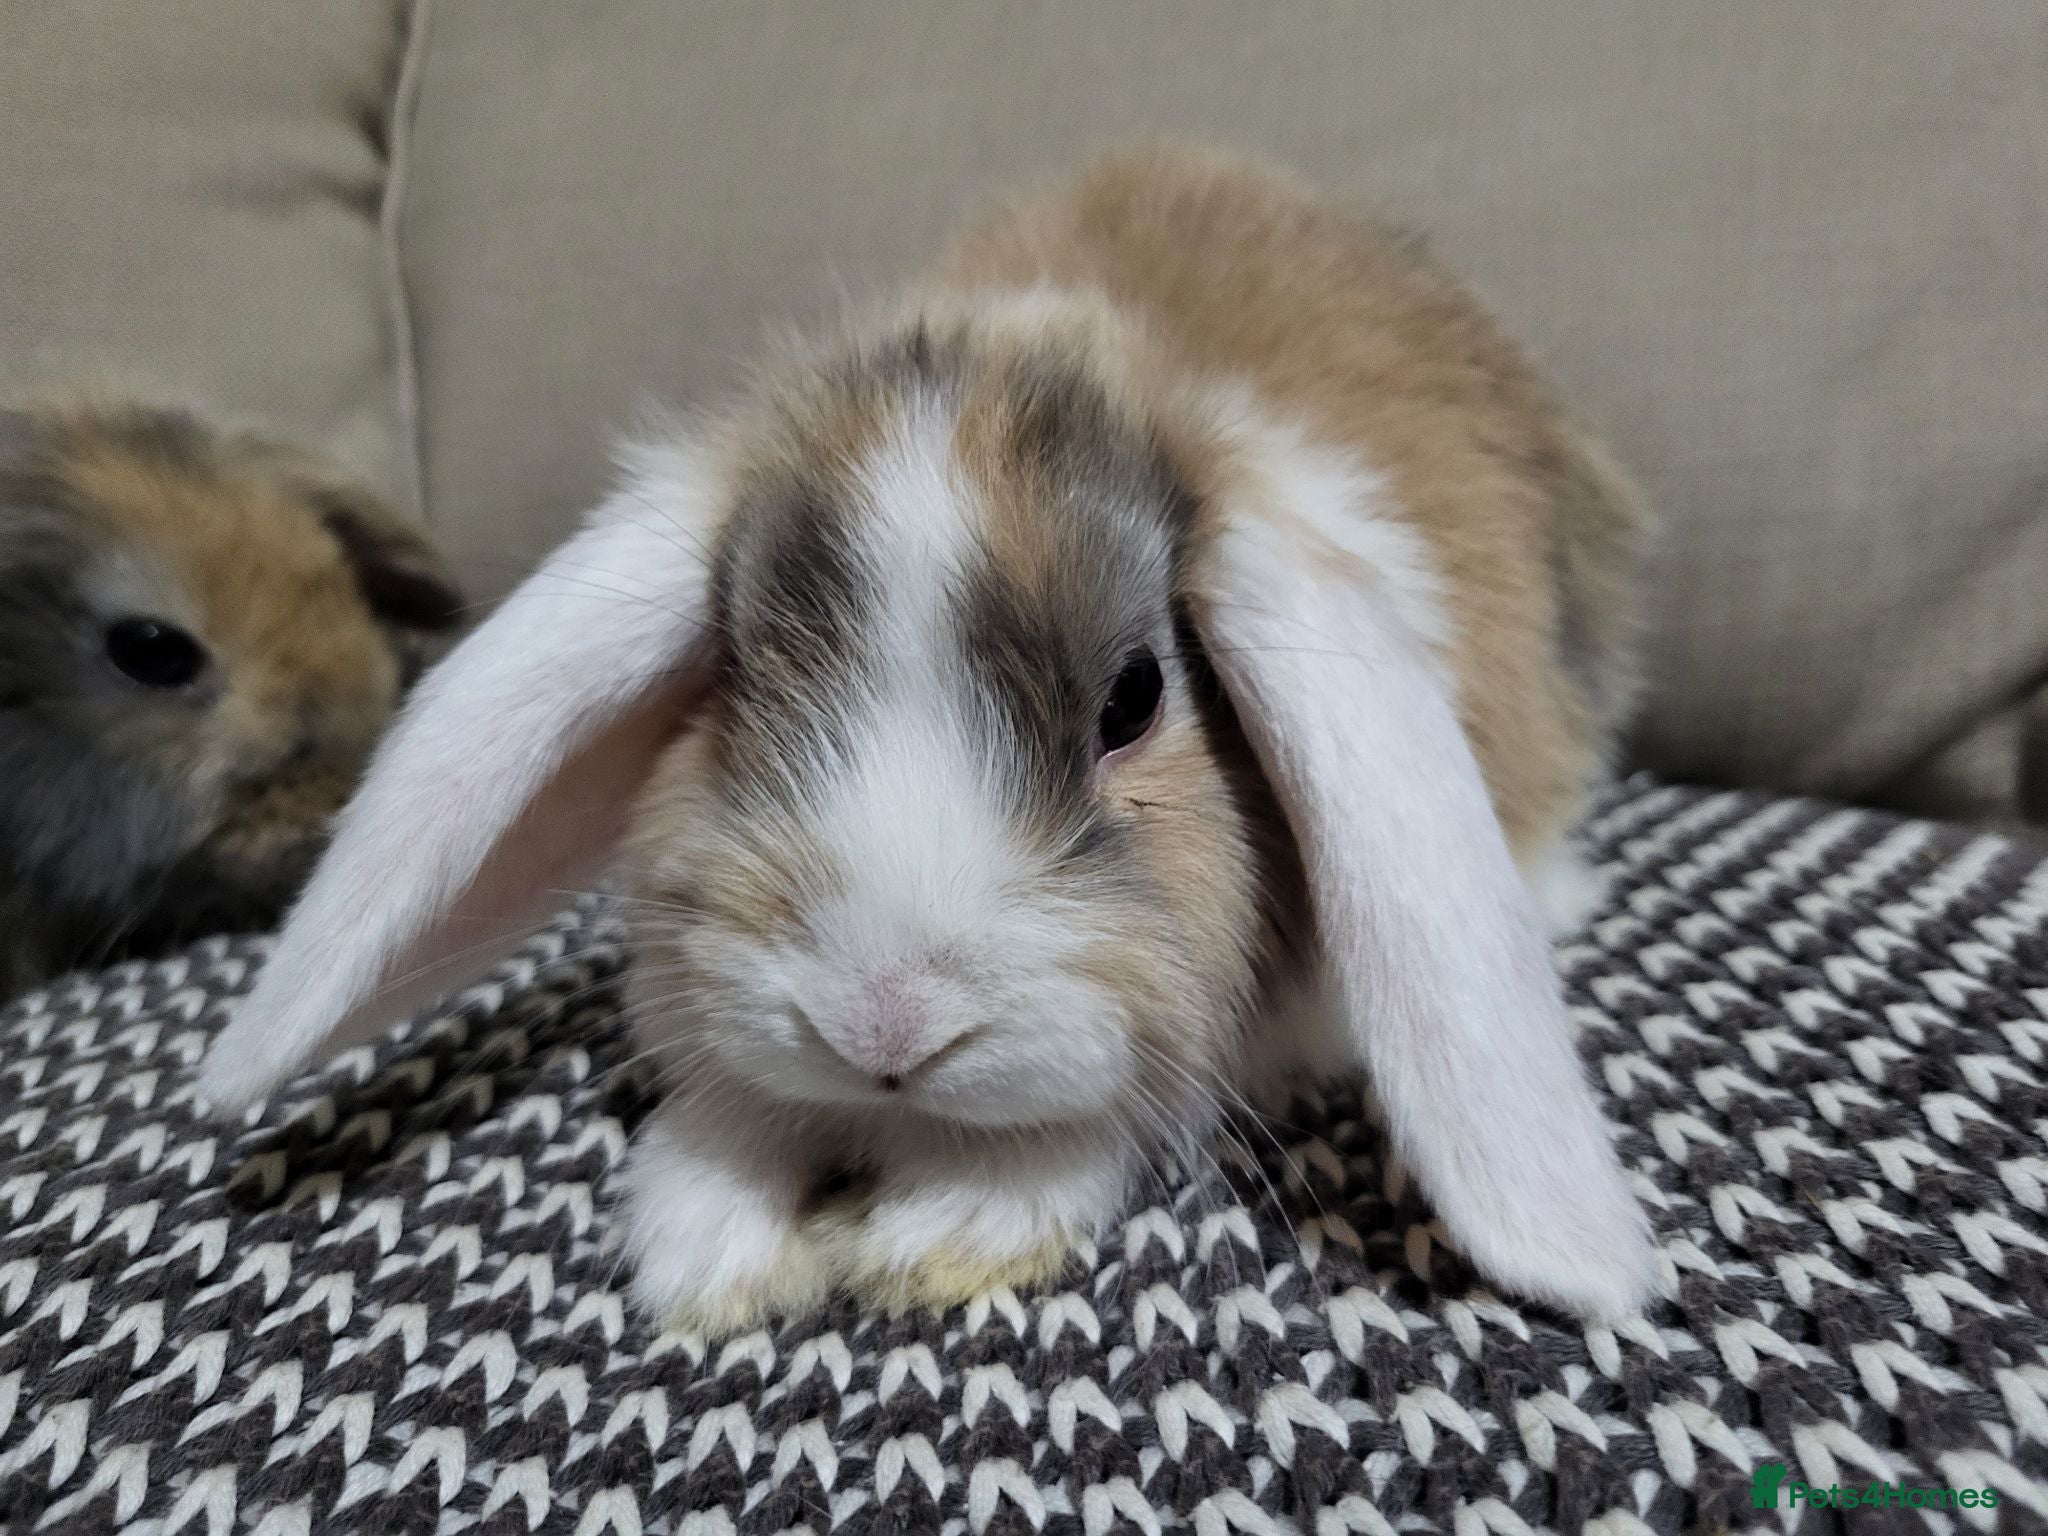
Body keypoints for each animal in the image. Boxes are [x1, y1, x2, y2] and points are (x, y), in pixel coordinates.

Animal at [198, 144, 1657, 1333]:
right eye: (738, 667)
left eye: (1135, 699)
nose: (883, 1027)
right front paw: (710, 1247)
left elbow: (1107, 1115)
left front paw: (944, 1228)